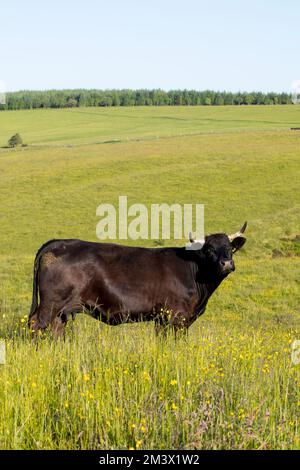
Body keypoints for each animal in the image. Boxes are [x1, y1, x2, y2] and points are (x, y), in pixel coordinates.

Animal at [27, 222, 246, 336]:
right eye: (209, 250)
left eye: (230, 248)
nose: (226, 263)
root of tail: (56, 243)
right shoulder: (177, 317)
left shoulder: (162, 319)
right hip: (50, 305)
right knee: (36, 325)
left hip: (61, 312)